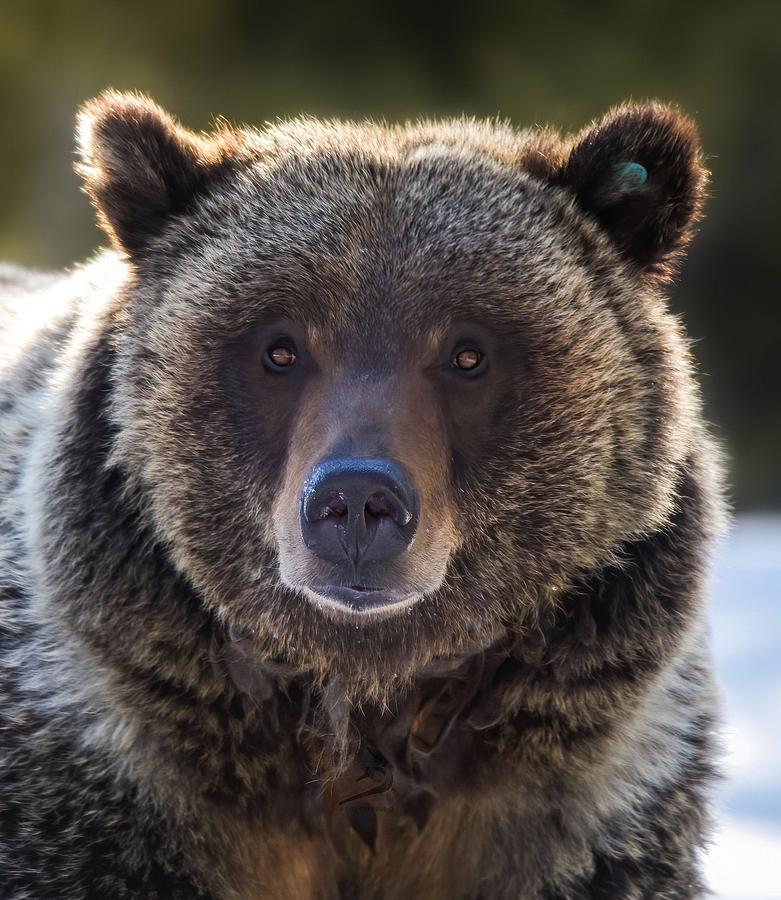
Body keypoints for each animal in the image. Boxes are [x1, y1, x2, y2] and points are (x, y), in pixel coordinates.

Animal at [0, 93, 724, 900]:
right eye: (279, 348)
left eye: (467, 353)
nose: (354, 500)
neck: (363, 691)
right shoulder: (104, 788)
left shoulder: (575, 808)